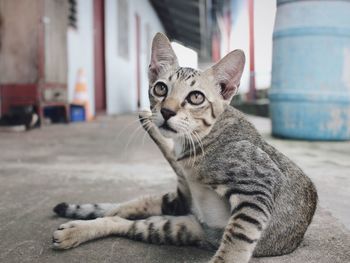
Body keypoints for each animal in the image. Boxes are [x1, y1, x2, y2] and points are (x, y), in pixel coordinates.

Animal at [52, 33, 318, 263]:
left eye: (196, 97)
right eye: (160, 88)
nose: (166, 111)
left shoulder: (260, 182)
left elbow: (237, 239)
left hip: (178, 226)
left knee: (125, 218)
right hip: (171, 221)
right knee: (125, 215)